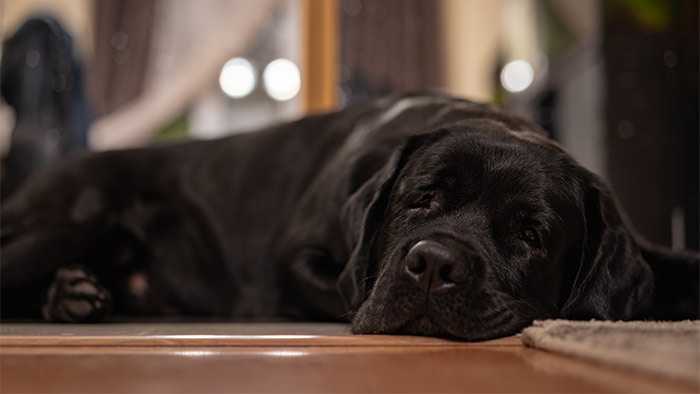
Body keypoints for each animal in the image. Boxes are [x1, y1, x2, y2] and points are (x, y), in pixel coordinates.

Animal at [0, 94, 696, 340]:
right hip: (75, 214)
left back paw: (74, 295)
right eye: (422, 199)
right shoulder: (295, 259)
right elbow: (343, 288)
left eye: (530, 234)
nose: (434, 265)